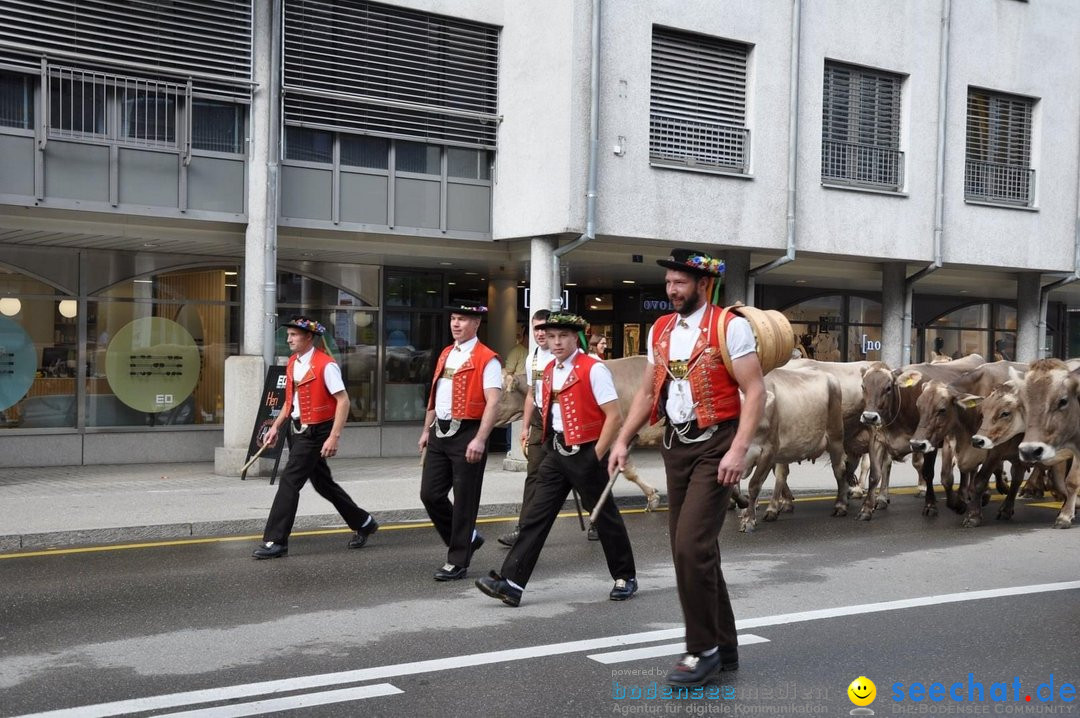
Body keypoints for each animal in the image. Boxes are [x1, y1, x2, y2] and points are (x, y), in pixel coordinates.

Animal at [1015, 358, 1080, 526]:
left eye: (1063, 401)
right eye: (1022, 404)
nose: (1029, 451)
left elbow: (1072, 480)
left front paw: (1065, 515)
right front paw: (1065, 513)